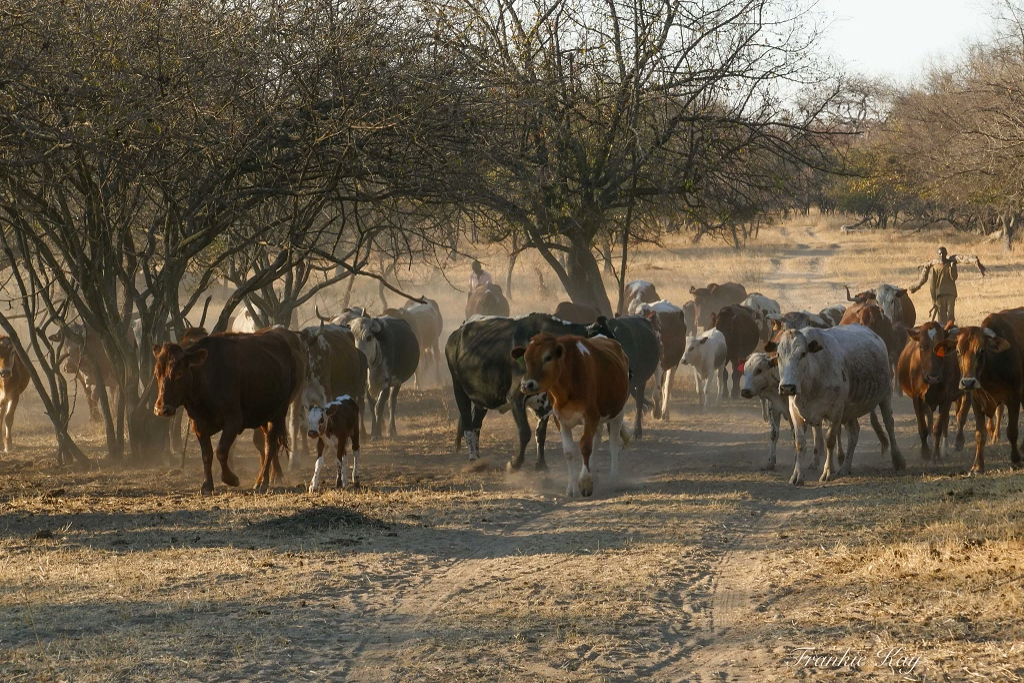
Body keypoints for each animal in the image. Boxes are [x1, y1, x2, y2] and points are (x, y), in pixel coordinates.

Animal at [150, 327, 303, 493]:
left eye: (179, 373)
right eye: (157, 373)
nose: (161, 409)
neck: (206, 378)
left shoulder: (233, 422)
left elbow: (221, 451)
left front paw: (231, 479)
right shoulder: (198, 425)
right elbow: (207, 455)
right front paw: (207, 485)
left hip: (279, 413)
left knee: (270, 445)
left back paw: (263, 482)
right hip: (263, 414)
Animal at [512, 335, 630, 499]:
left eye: (547, 357)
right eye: (526, 358)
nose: (526, 385)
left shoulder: (590, 415)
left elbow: (585, 446)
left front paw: (585, 483)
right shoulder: (560, 420)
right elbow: (569, 451)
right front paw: (572, 487)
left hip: (618, 411)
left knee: (613, 443)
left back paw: (613, 479)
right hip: (599, 418)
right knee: (597, 439)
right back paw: (595, 476)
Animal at [770, 325, 905, 485]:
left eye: (803, 353)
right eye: (778, 355)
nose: (787, 387)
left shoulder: (835, 412)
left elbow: (829, 440)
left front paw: (828, 471)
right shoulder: (796, 413)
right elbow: (800, 443)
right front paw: (797, 475)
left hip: (885, 396)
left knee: (889, 424)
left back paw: (898, 459)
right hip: (850, 411)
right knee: (854, 433)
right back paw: (845, 467)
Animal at [897, 321, 966, 462]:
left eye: (942, 347)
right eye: (921, 346)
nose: (932, 377)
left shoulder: (946, 399)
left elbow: (938, 427)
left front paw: (936, 454)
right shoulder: (917, 398)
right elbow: (922, 428)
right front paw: (924, 452)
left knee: (945, 421)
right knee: (928, 417)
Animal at [937, 311, 1024, 475]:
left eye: (981, 350)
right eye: (958, 351)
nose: (968, 382)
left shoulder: (1014, 398)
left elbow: (1012, 430)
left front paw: (1016, 460)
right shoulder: (976, 401)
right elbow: (980, 434)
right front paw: (977, 466)